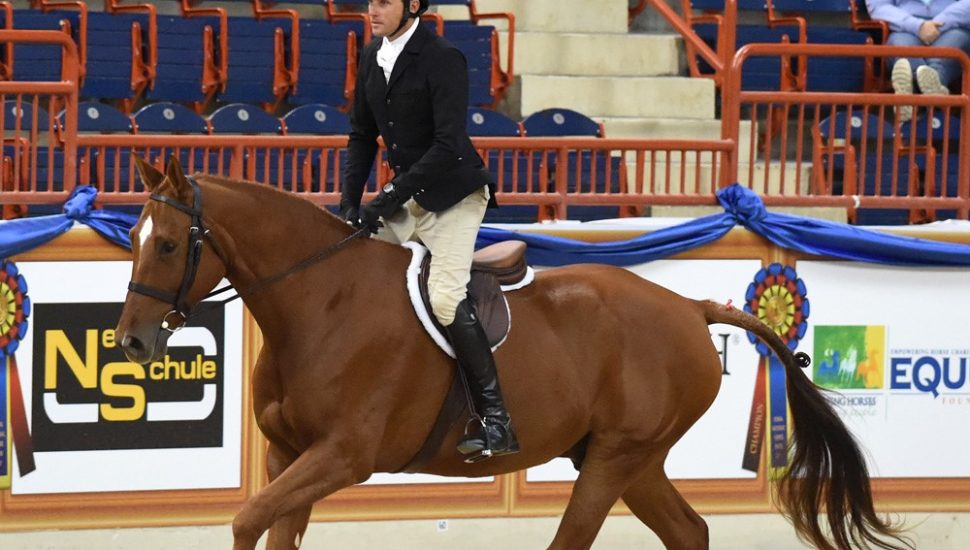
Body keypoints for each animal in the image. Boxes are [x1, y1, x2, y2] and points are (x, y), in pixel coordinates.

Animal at [115, 156, 909, 550]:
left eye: (166, 245)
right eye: (134, 240)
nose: (130, 341)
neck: (317, 304)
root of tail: (689, 309)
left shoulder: (342, 456)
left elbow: (245, 520)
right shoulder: (288, 457)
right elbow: (266, 525)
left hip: (617, 457)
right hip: (630, 458)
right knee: (689, 532)